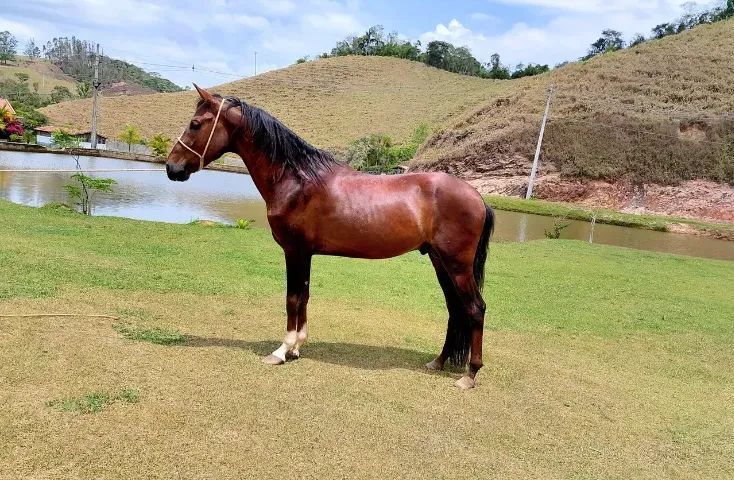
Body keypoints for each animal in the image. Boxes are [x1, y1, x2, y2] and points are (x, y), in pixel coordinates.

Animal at [166, 85, 495, 389]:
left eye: (195, 123)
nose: (172, 167)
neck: (297, 180)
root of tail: (478, 197)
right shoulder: (306, 254)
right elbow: (304, 297)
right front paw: (297, 348)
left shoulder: (294, 251)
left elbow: (292, 298)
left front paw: (282, 351)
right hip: (440, 262)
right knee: (455, 310)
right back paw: (438, 362)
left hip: (456, 265)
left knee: (475, 309)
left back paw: (470, 374)